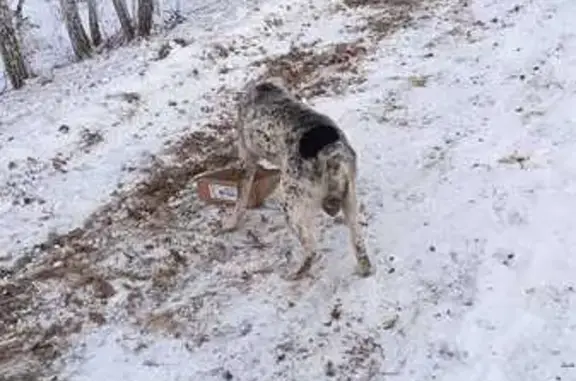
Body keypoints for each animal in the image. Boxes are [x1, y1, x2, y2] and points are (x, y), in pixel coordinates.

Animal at [223, 78, 372, 280]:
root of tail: (330, 155)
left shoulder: (247, 161)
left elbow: (240, 199)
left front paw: (231, 223)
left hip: (291, 207)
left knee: (312, 250)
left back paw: (295, 273)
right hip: (350, 202)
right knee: (359, 244)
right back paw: (364, 268)